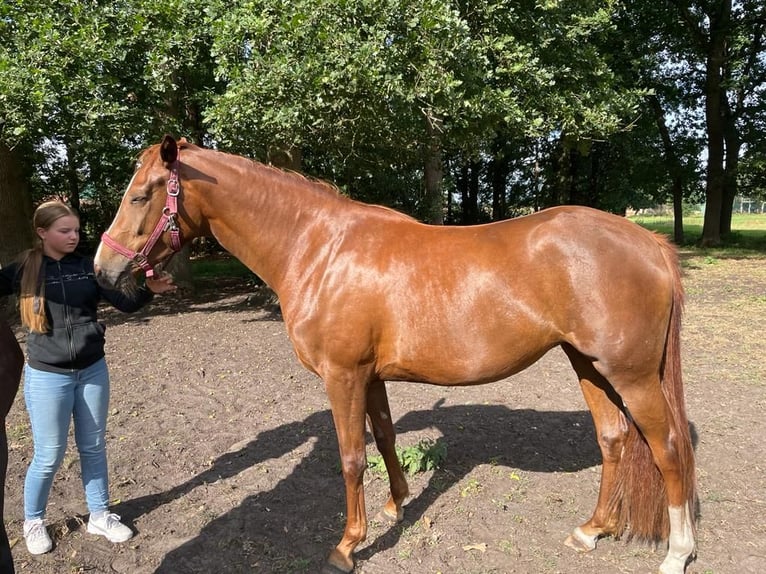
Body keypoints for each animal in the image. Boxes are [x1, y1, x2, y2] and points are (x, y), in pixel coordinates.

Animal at [93, 137, 700, 574]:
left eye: (140, 196)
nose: (102, 271)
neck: (320, 249)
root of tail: (648, 243)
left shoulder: (342, 376)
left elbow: (350, 457)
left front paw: (347, 546)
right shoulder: (371, 377)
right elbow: (383, 436)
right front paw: (396, 504)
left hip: (631, 374)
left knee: (668, 448)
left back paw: (677, 553)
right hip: (586, 364)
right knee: (613, 438)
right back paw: (592, 529)